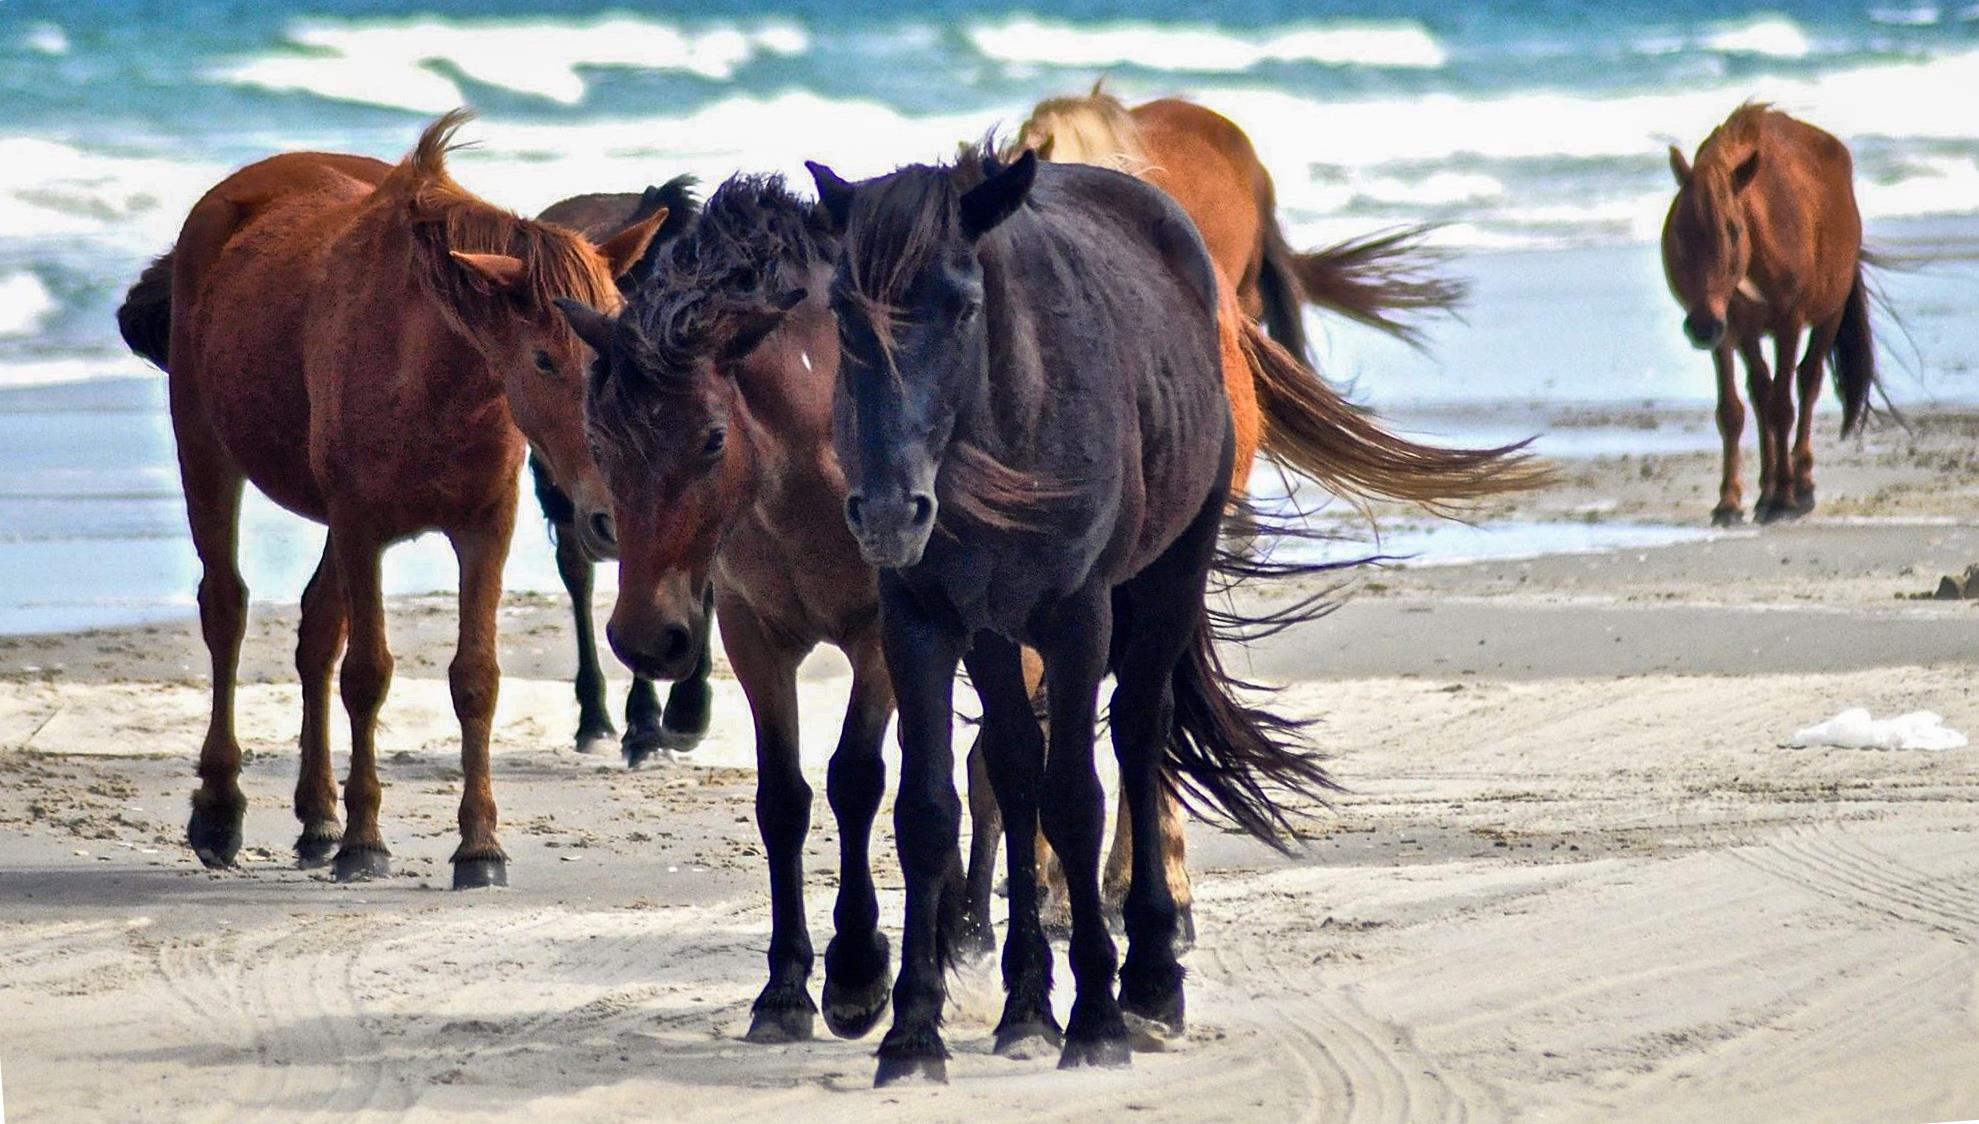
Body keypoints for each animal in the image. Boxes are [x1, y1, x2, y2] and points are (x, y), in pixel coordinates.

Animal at [117, 111, 664, 886]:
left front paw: (479, 846)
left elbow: (475, 678)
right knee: (225, 609)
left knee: (315, 631)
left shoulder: (483, 528)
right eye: (544, 359)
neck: (426, 371)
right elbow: (367, 675)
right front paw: (366, 842)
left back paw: (317, 817)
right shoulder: (361, 527)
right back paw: (221, 812)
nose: (611, 519)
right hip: (206, 452)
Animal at [807, 144, 1543, 1084]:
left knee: (1136, 733)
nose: (889, 513)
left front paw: (1096, 1019)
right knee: (1010, 765)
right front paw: (912, 1032)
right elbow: (928, 811)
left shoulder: (1077, 619)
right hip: (998, 636)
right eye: (841, 312)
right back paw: (1025, 1005)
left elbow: (1075, 800)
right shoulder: (925, 620)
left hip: (1165, 581)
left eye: (962, 305)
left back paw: (1151, 982)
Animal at [1662, 103, 1876, 526]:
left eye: (1732, 230)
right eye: (1679, 230)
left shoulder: (1788, 323)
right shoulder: (1730, 330)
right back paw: (1766, 491)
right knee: (1761, 392)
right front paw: (1729, 503)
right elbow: (1734, 411)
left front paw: (1785, 499)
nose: (1701, 327)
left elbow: (1783, 406)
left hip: (1828, 314)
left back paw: (1800, 485)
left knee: (1806, 384)